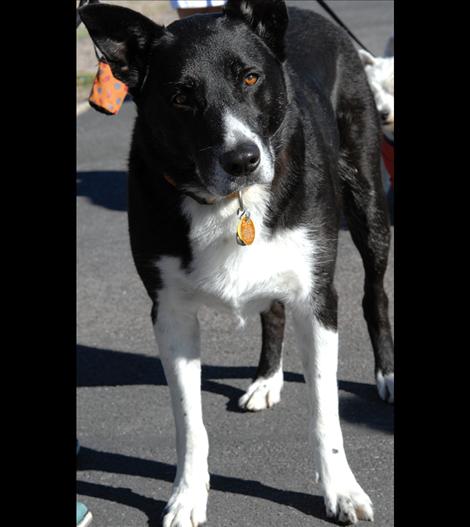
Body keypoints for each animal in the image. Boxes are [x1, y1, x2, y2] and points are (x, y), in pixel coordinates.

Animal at [80, 2, 392, 524]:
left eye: (249, 78)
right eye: (180, 96)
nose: (243, 160)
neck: (230, 202)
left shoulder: (316, 298)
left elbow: (326, 411)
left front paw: (341, 490)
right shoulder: (170, 313)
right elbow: (189, 422)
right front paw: (187, 495)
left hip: (368, 201)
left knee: (375, 294)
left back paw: (386, 373)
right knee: (273, 311)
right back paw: (266, 380)